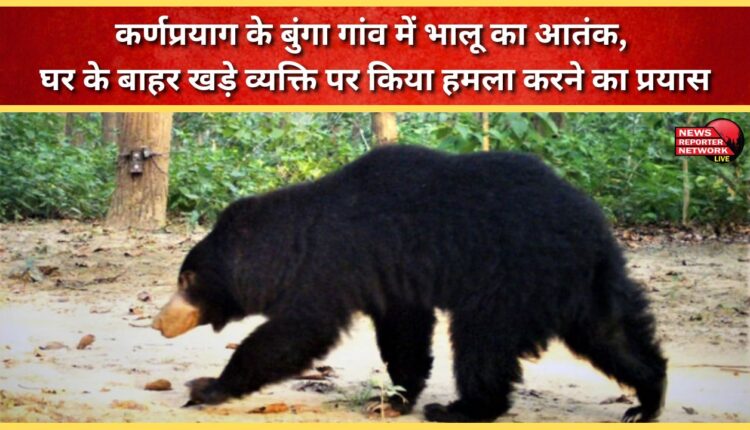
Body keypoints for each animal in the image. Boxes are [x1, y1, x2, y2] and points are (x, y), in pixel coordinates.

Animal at [152, 144, 667, 423]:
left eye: (187, 277)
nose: (159, 321)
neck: (297, 239)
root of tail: (591, 226)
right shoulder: (390, 275)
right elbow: (404, 332)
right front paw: (394, 399)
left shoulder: (334, 263)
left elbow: (296, 332)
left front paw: (207, 387)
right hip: (581, 281)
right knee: (612, 333)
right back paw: (648, 398)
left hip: (510, 276)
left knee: (481, 341)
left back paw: (463, 408)